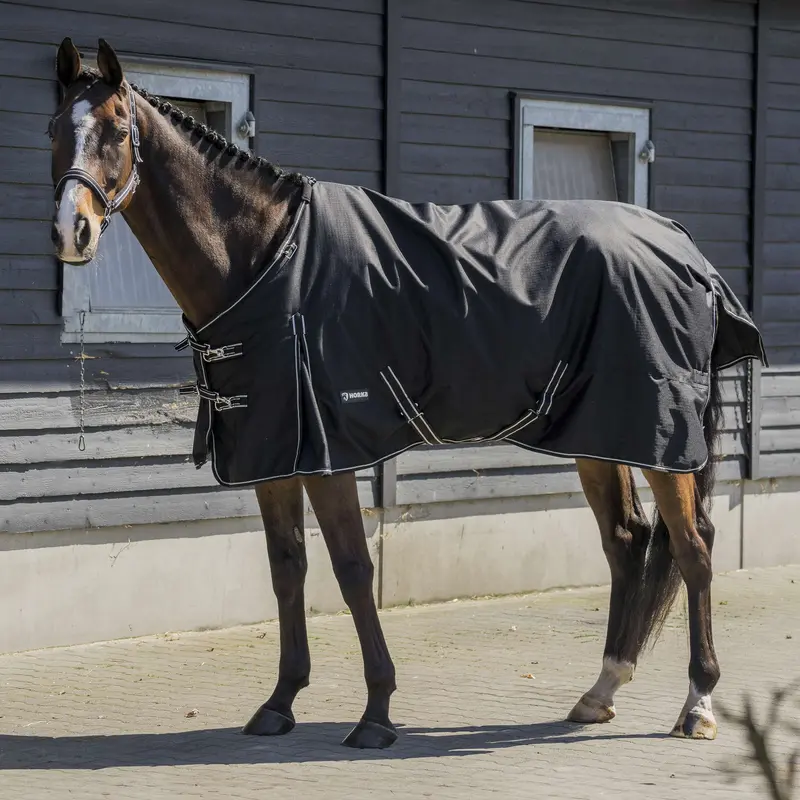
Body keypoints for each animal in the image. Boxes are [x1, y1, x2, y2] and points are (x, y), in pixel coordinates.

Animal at [48, 38, 766, 749]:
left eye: (117, 130)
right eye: (56, 128)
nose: (70, 233)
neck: (269, 260)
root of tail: (683, 250)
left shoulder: (327, 454)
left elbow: (352, 570)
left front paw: (376, 712)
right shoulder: (273, 455)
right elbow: (287, 569)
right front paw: (280, 702)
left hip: (660, 438)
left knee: (694, 547)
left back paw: (698, 704)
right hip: (603, 432)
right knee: (627, 540)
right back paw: (601, 690)